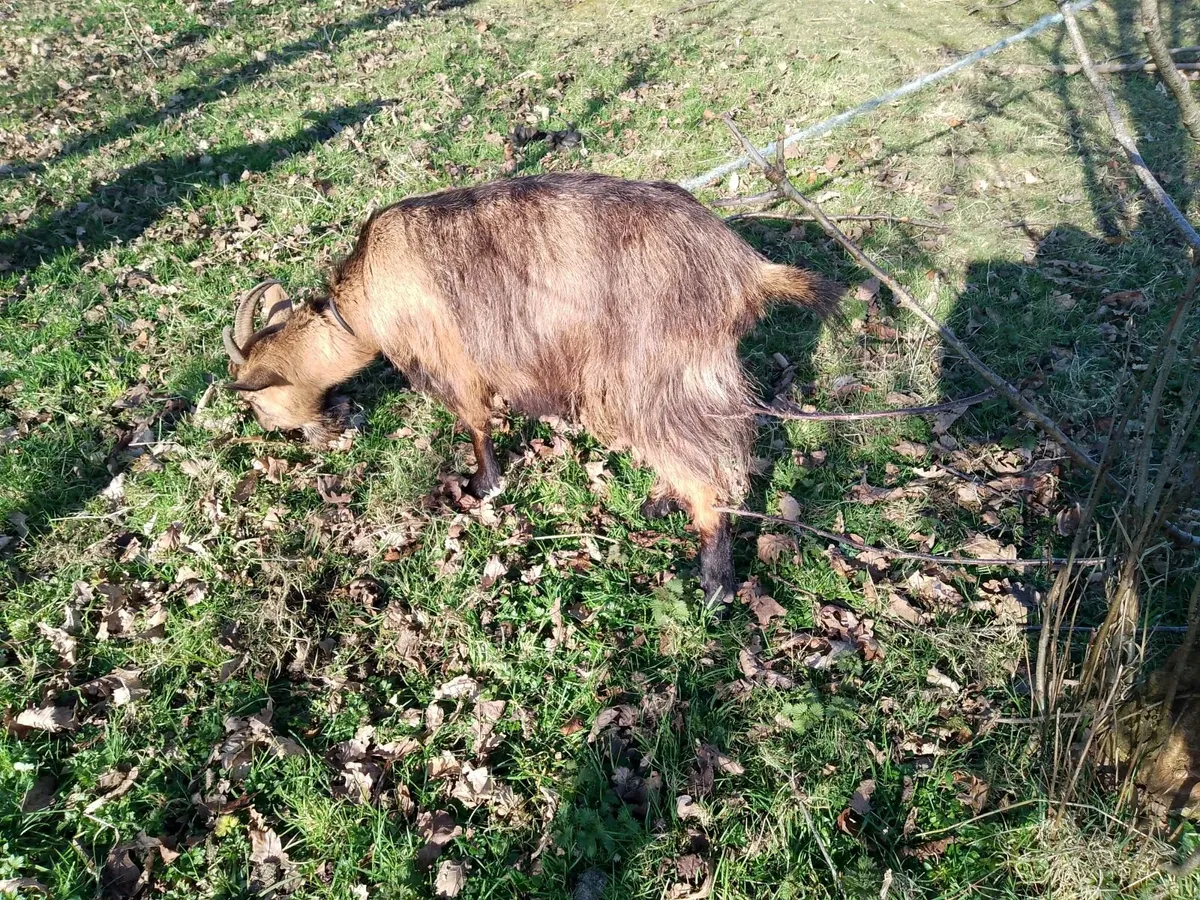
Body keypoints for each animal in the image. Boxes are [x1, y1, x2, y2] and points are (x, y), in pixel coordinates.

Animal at [222, 173, 837, 605]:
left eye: (253, 397)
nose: (324, 432)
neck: (363, 302)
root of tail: (744, 268)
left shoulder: (453, 359)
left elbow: (474, 421)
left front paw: (484, 484)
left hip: (659, 369)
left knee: (709, 464)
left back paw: (714, 582)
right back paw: (662, 500)